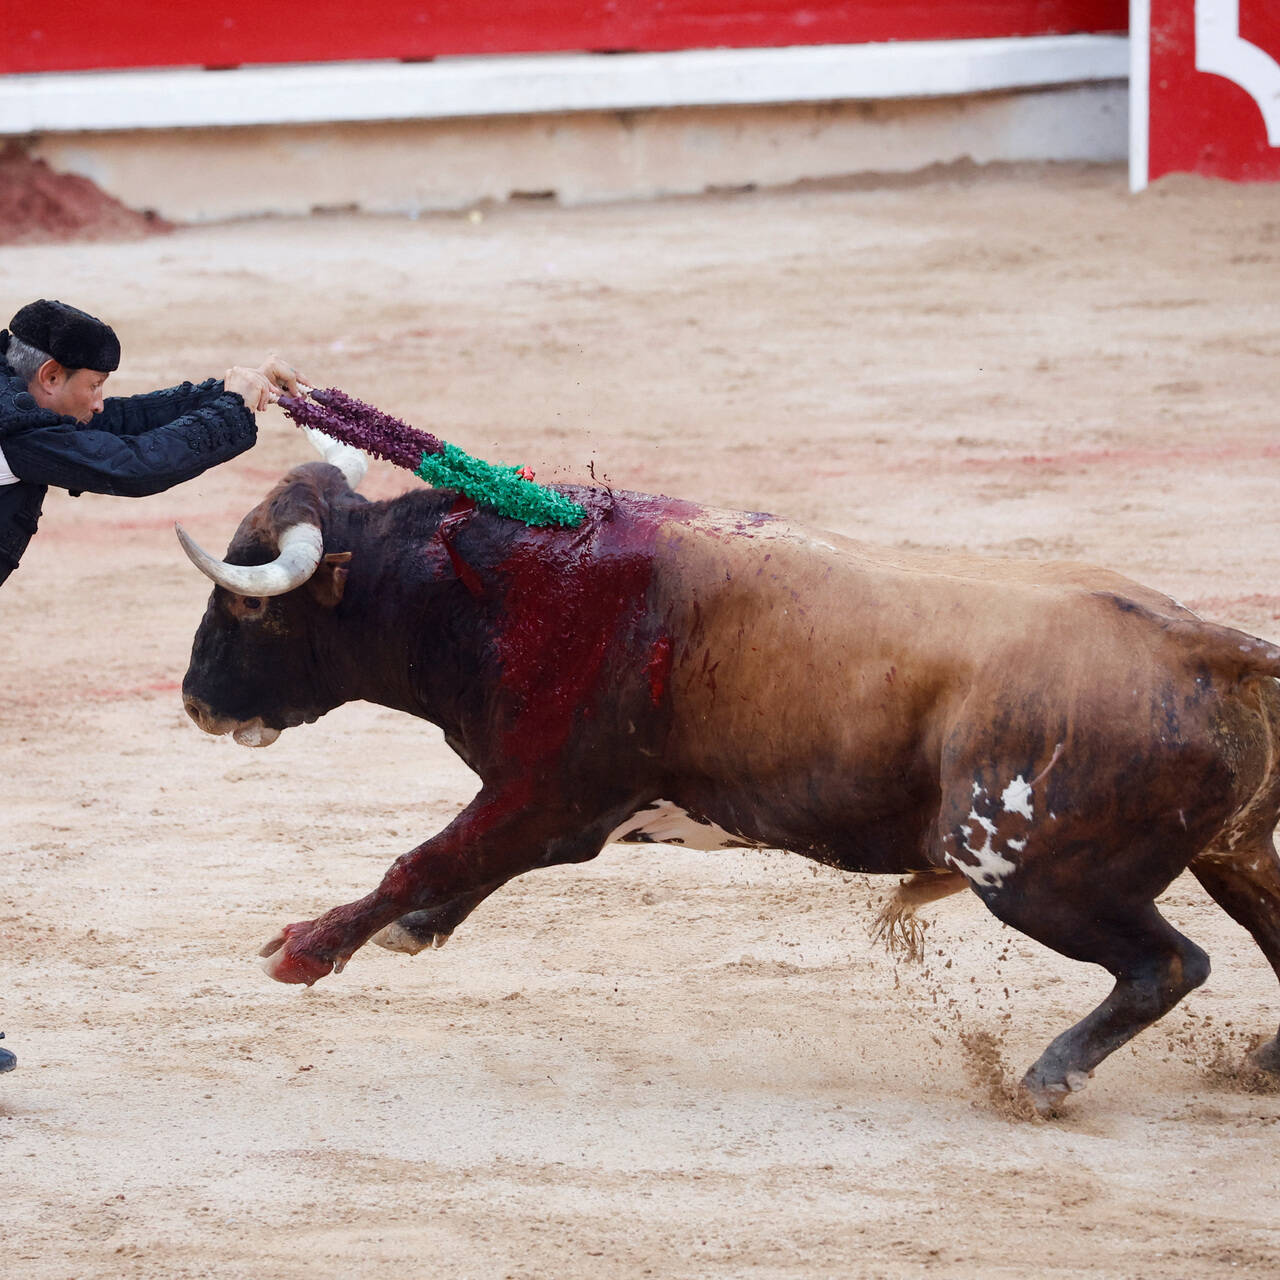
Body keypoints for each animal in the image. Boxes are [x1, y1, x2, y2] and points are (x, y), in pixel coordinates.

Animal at [177, 437, 1280, 1111]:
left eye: (252, 605)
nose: (194, 699)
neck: (502, 582)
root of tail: (1204, 643)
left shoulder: (548, 791)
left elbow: (426, 855)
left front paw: (302, 949)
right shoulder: (560, 807)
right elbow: (459, 862)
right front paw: (409, 930)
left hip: (1025, 872)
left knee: (1170, 963)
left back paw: (1047, 1076)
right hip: (1229, 851)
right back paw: (1262, 1061)